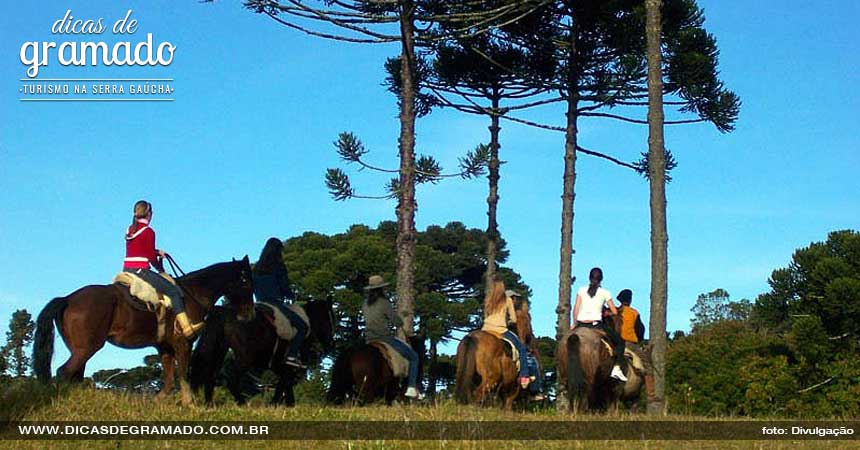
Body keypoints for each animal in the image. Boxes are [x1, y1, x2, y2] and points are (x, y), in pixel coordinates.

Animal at [33, 256, 255, 408]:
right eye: (246, 281)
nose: (249, 313)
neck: (193, 294)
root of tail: (67, 298)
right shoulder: (183, 344)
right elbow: (183, 374)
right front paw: (190, 404)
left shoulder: (165, 348)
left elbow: (168, 381)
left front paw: (157, 402)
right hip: (86, 348)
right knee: (64, 372)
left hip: (80, 350)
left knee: (75, 375)